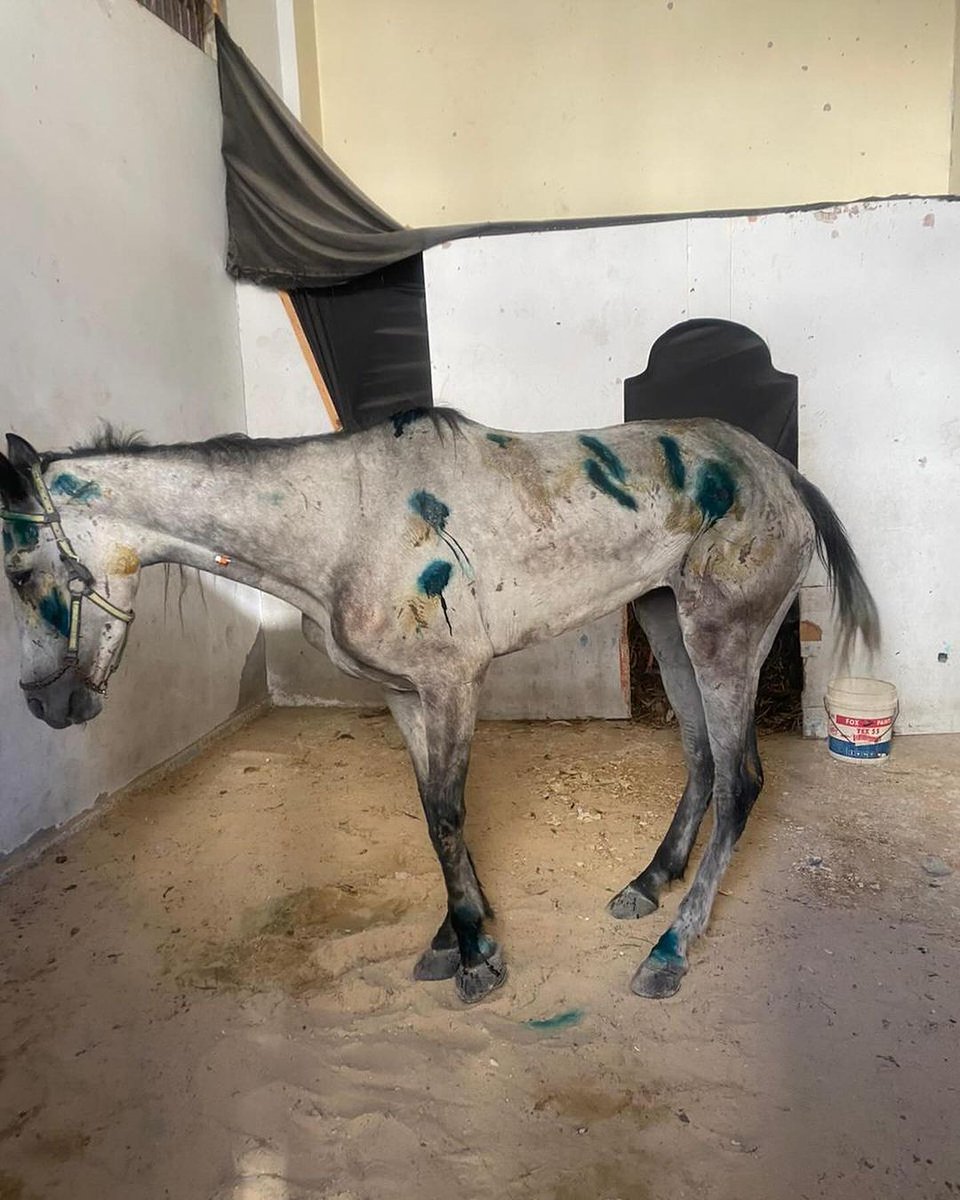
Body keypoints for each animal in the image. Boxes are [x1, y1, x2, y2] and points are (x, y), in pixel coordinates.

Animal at [0, 408, 878, 1003]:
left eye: (16, 571)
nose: (47, 705)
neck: (345, 526)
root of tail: (780, 472)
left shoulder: (454, 684)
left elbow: (449, 814)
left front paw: (478, 957)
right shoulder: (405, 696)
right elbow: (432, 810)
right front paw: (456, 936)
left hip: (722, 636)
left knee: (740, 781)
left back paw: (671, 949)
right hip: (666, 619)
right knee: (699, 759)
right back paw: (649, 881)